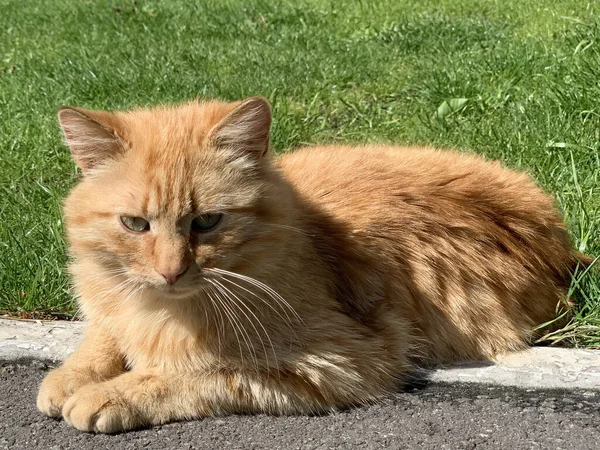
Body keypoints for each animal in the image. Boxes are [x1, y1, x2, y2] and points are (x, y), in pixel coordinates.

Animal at [35, 97, 584, 432]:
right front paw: (70, 377)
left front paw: (113, 394)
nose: (171, 272)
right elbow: (102, 337)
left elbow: (198, 372)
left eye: (207, 222)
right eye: (134, 224)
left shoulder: (342, 361)